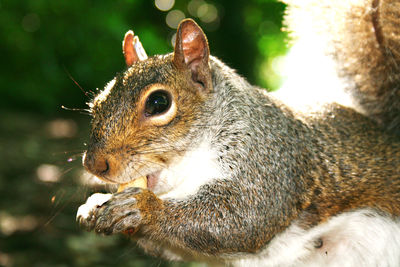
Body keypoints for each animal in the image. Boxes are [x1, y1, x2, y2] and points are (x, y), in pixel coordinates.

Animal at [76, 1, 400, 266]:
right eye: (97, 103)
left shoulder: (269, 163)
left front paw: (142, 208)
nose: (94, 165)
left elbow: (242, 218)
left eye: (158, 103)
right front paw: (94, 205)